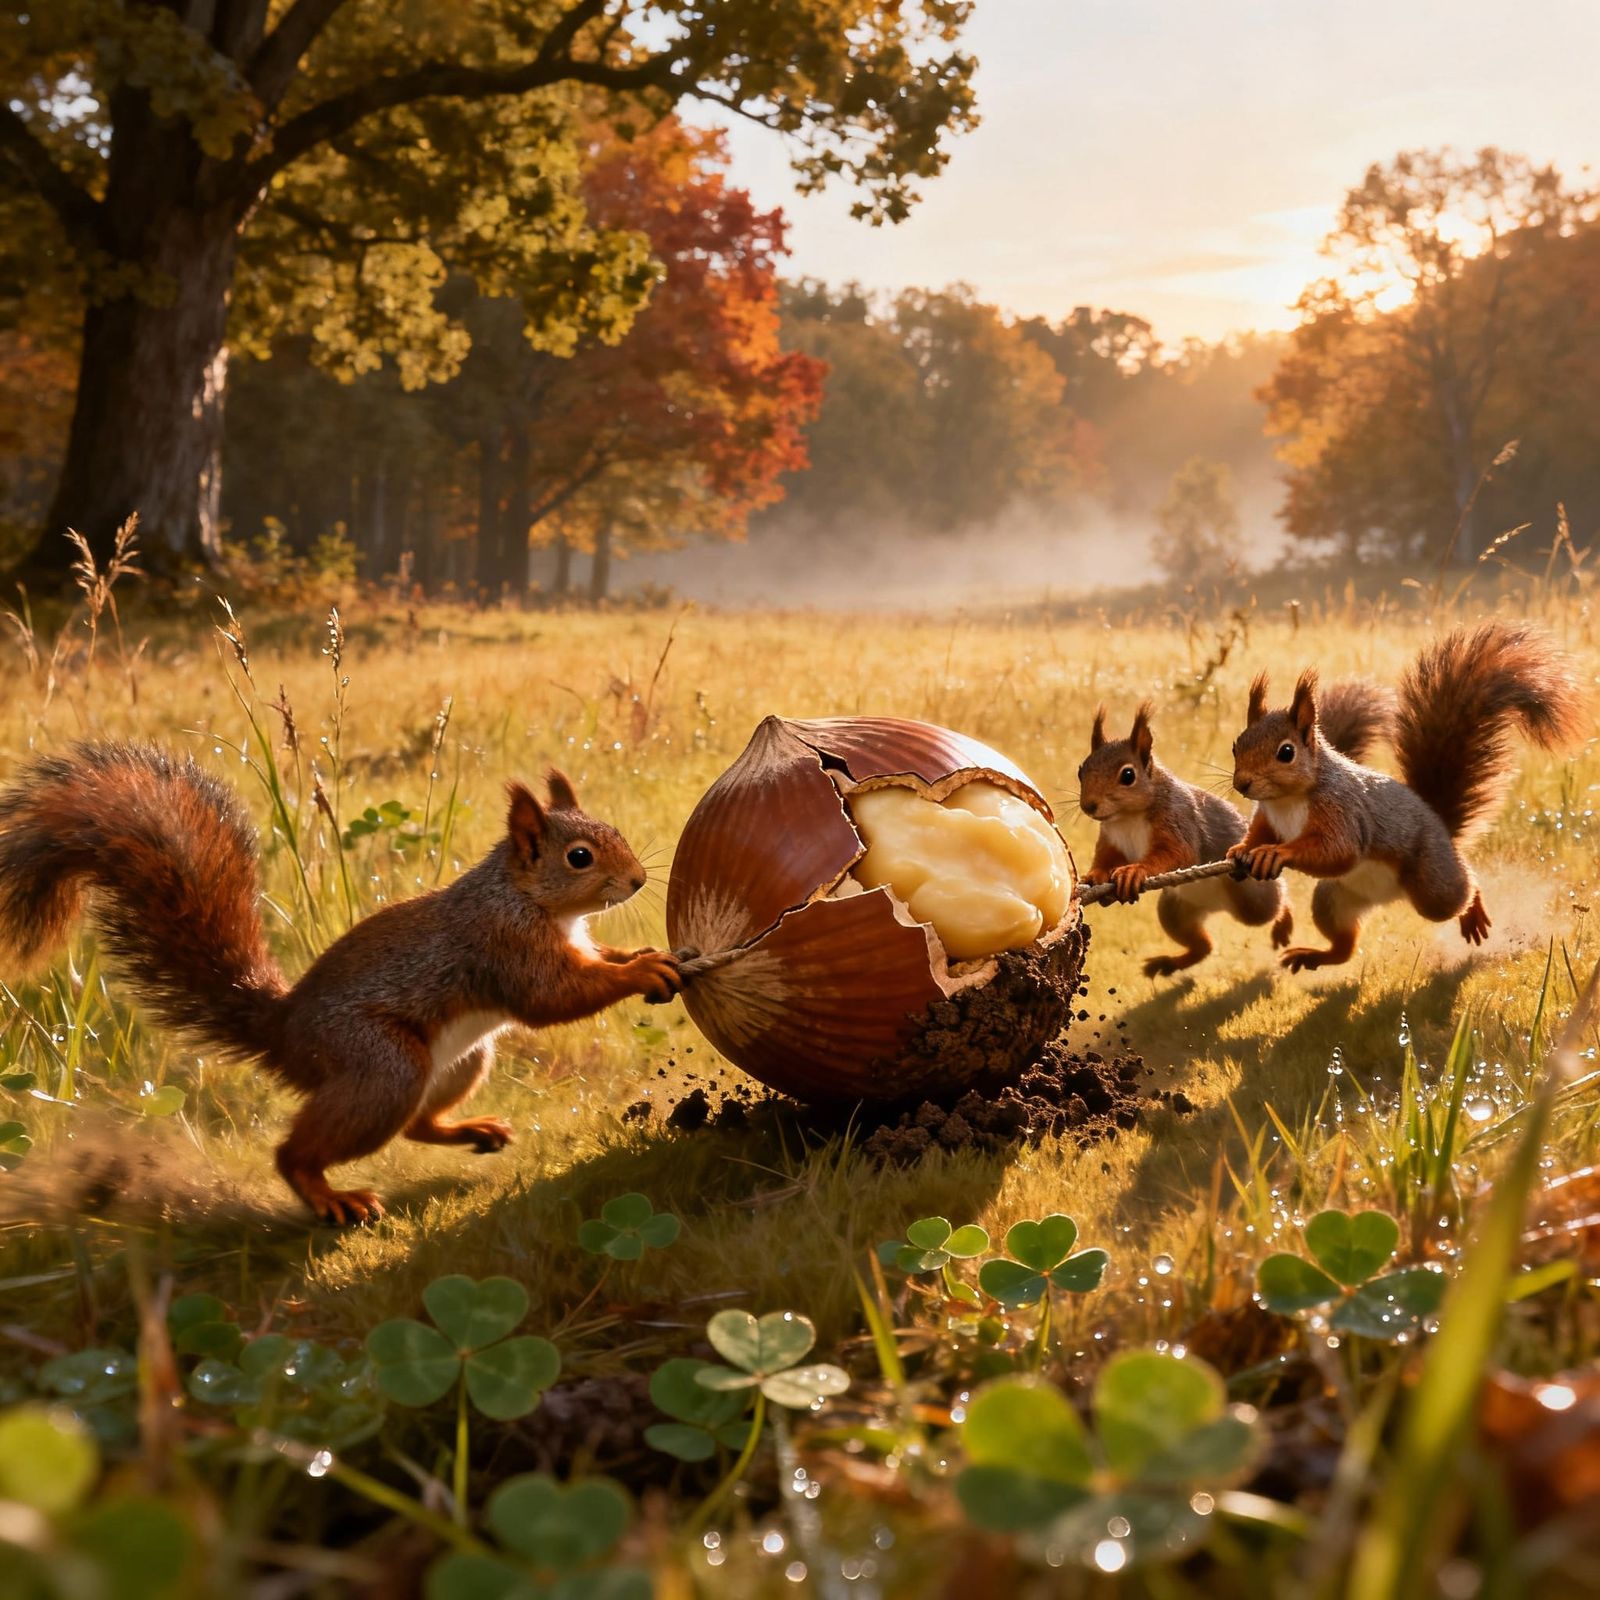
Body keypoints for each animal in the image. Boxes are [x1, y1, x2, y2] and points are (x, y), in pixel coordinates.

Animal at [0, 743, 682, 1224]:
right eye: (579, 857)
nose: (640, 880)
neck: (528, 899)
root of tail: (282, 1035)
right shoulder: (505, 948)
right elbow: (554, 998)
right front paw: (641, 971)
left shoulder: (573, 943)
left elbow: (598, 960)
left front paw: (641, 953)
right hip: (381, 1066)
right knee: (302, 1151)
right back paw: (329, 1197)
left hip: (460, 1061)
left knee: (416, 1125)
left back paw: (470, 1130)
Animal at [1077, 688, 1391, 976]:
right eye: (1081, 770)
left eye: (1128, 775)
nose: (1088, 806)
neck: (1126, 818)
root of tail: (1216, 907)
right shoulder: (1110, 839)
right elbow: (1106, 859)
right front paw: (1094, 877)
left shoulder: (1177, 819)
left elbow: (1178, 853)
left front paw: (1135, 871)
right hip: (1176, 911)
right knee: (1203, 946)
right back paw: (1171, 962)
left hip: (1251, 900)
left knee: (1275, 903)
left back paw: (1283, 922)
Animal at [1227, 622, 1588, 972]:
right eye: (1236, 745)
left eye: (1286, 752)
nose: (1242, 784)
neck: (1287, 801)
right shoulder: (1267, 815)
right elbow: (1260, 832)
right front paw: (1242, 848)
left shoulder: (1341, 809)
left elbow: (1337, 850)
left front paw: (1276, 853)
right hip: (1334, 899)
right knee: (1344, 946)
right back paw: (1314, 955)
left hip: (1433, 884)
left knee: (1461, 891)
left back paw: (1473, 909)